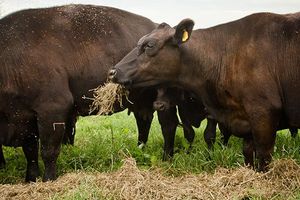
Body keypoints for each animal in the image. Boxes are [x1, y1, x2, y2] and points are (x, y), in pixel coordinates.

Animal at [110, 11, 300, 171]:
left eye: (150, 45)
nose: (113, 71)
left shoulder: (263, 114)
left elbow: (263, 157)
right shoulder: (245, 121)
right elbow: (247, 153)